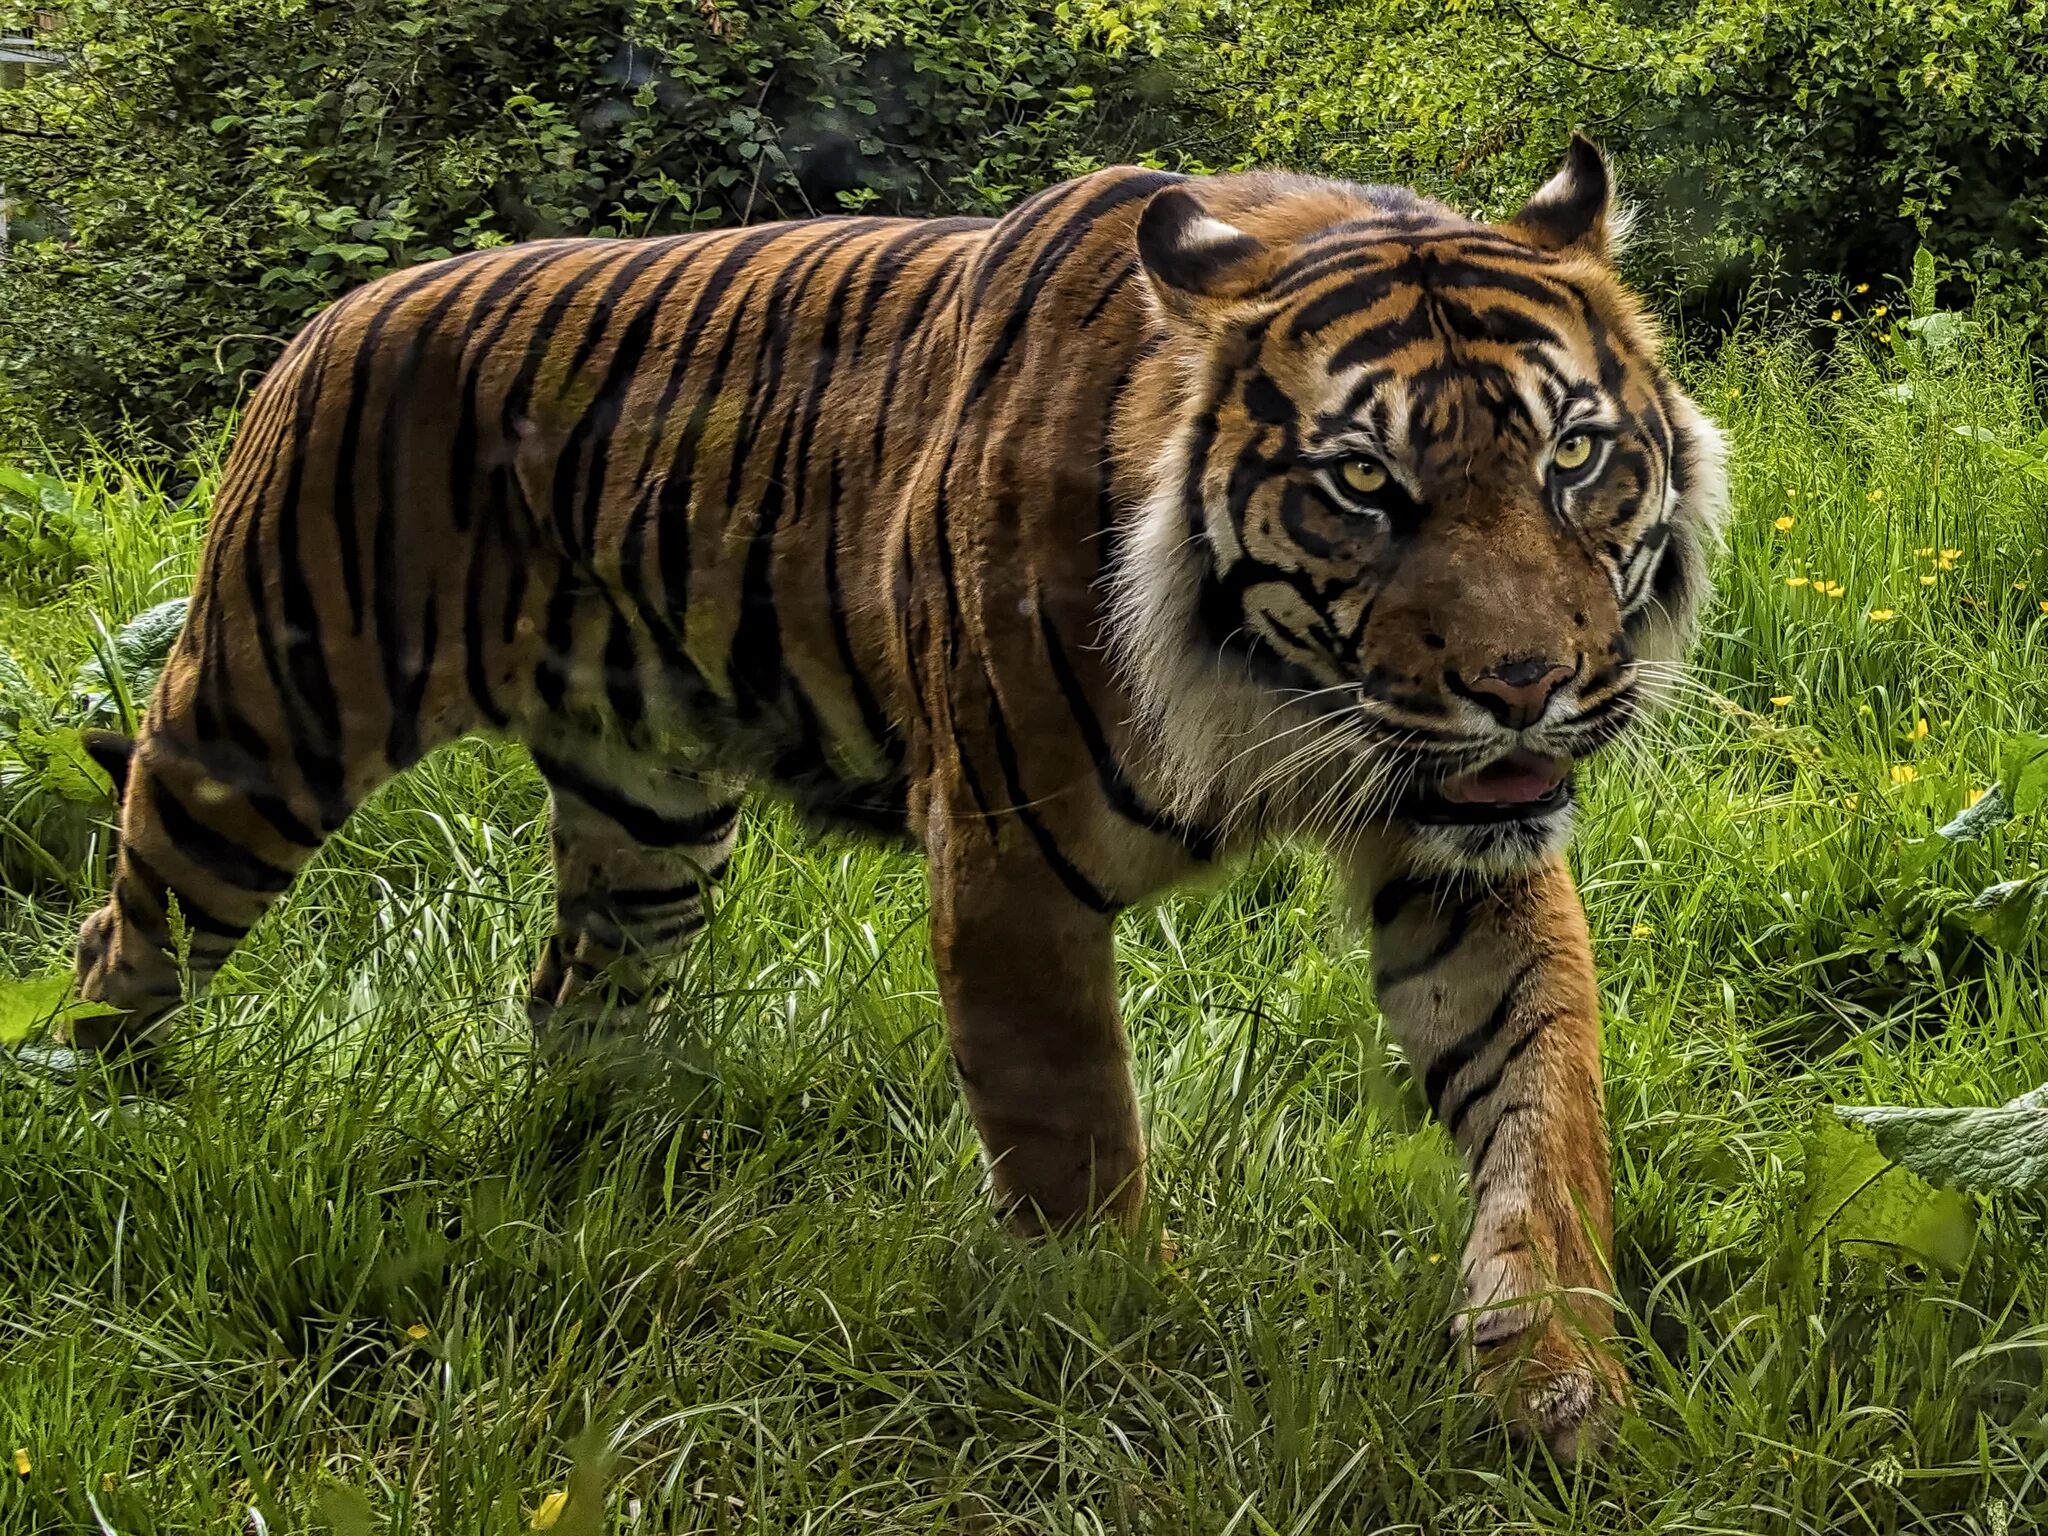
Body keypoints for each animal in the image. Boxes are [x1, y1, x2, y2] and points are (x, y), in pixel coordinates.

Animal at [64, 138, 1720, 1458]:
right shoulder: (1007, 870)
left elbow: (1544, 1120)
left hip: (651, 820)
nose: (1529, 686)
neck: (1269, 697)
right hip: (255, 734)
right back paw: (108, 1128)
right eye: (1364, 487)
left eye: (1576, 456)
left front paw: (1559, 1383)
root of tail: (343, 307)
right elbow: (1074, 1149)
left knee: (575, 998)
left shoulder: (1465, 858)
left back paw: (617, 1192)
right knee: (122, 933)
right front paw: (1136, 1367)